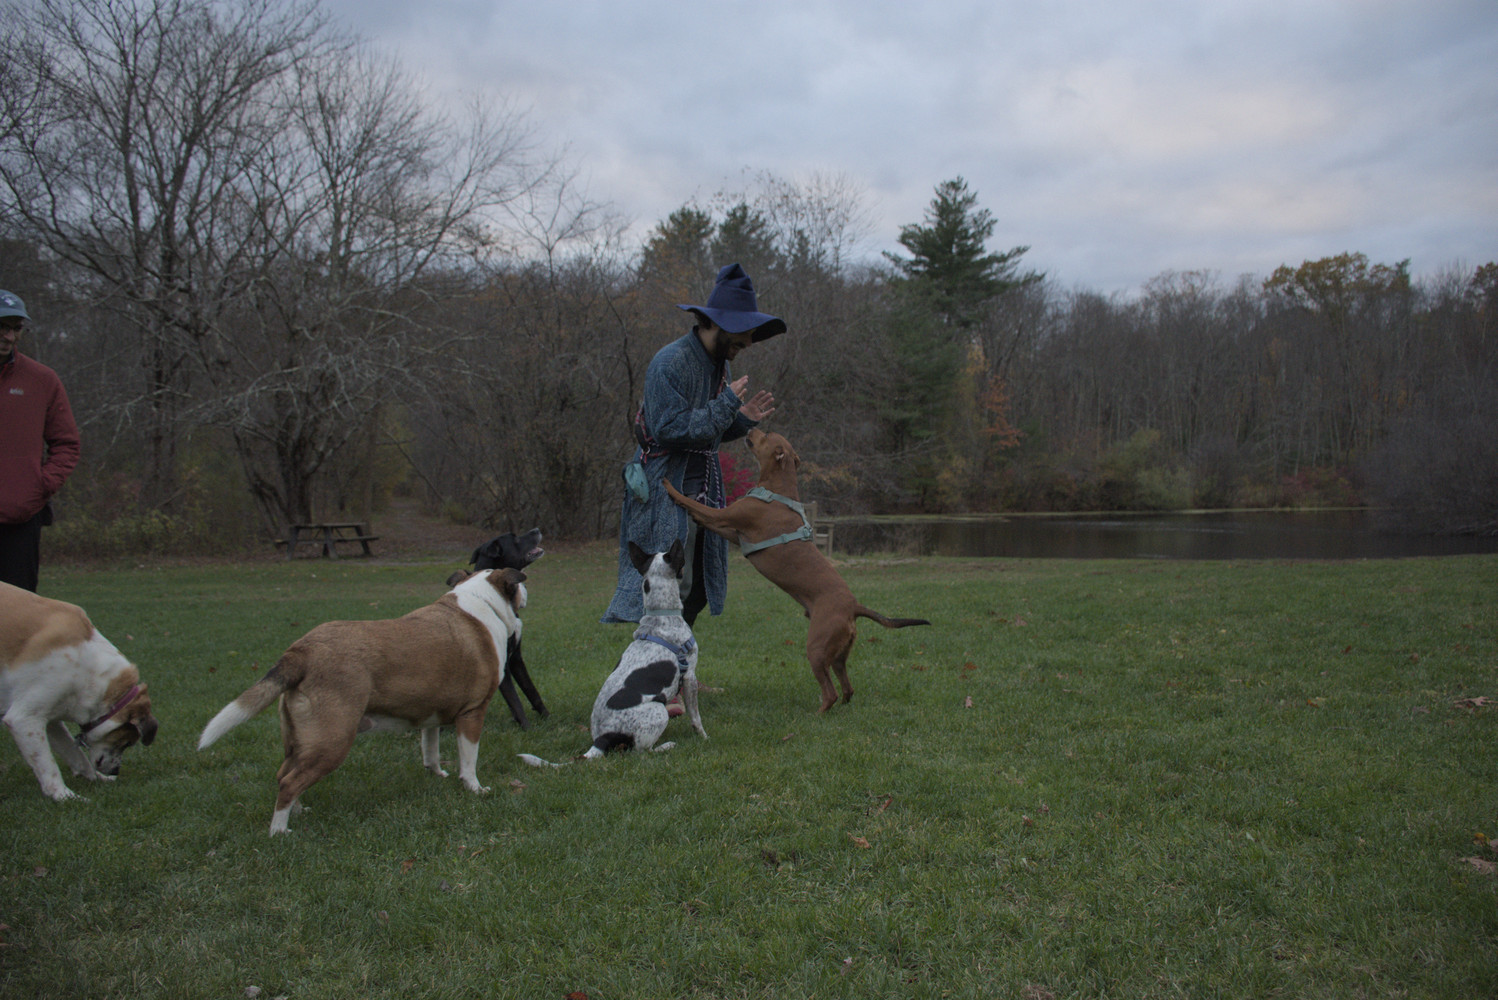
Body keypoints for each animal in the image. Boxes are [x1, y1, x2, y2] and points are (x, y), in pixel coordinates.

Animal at [0, 582, 158, 800]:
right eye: (127, 743)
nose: (116, 771)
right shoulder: (24, 719)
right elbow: (48, 765)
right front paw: (64, 796)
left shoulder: (52, 720)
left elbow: (75, 754)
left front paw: (97, 778)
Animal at [198, 568, 526, 835]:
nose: (525, 590)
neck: (481, 601)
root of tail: (302, 651)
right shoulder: (473, 712)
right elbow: (469, 759)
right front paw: (475, 789)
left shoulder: (429, 715)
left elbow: (429, 750)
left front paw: (436, 774)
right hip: (332, 741)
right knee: (290, 782)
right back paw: (279, 831)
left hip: (301, 740)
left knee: (284, 775)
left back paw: (298, 811)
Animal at [445, 529, 547, 729]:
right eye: (515, 539)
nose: (537, 530)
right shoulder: (502, 664)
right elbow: (515, 701)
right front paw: (528, 730)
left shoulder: (516, 658)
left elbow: (532, 691)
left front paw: (548, 720)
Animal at [519, 540, 704, 767]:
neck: (660, 617)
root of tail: (600, 741)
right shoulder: (690, 676)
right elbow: (696, 716)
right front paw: (703, 737)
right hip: (659, 711)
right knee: (642, 751)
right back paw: (666, 746)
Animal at [664, 429, 930, 713]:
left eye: (766, 434)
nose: (751, 428)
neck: (777, 488)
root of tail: (854, 607)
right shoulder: (733, 531)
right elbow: (702, 515)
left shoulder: (727, 517)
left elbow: (692, 503)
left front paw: (668, 485)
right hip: (838, 654)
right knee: (847, 688)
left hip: (816, 648)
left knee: (830, 693)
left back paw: (818, 714)